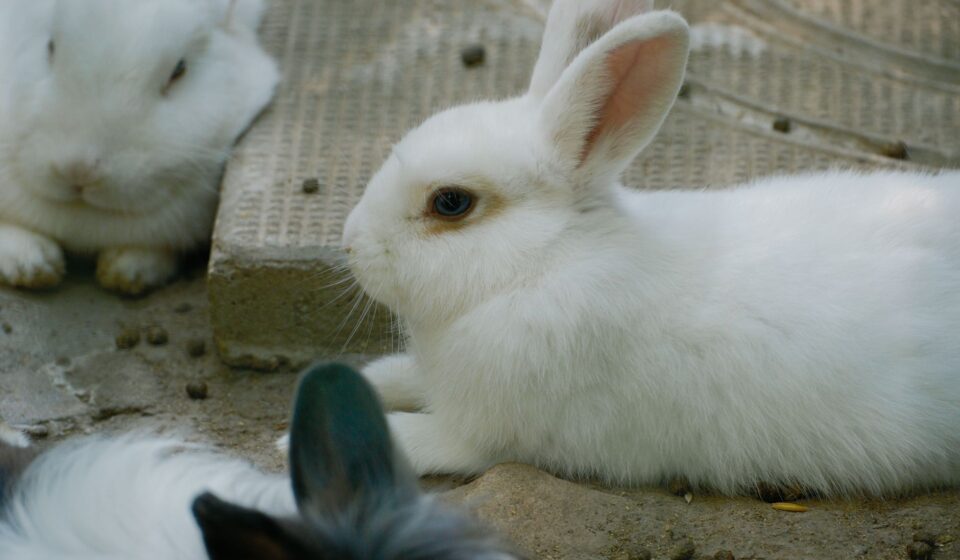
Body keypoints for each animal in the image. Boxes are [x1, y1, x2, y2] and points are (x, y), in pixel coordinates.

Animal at [340, 0, 960, 497]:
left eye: (450, 203)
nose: (349, 243)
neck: (544, 262)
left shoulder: (489, 432)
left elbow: (431, 440)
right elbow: (406, 380)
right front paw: (374, 378)